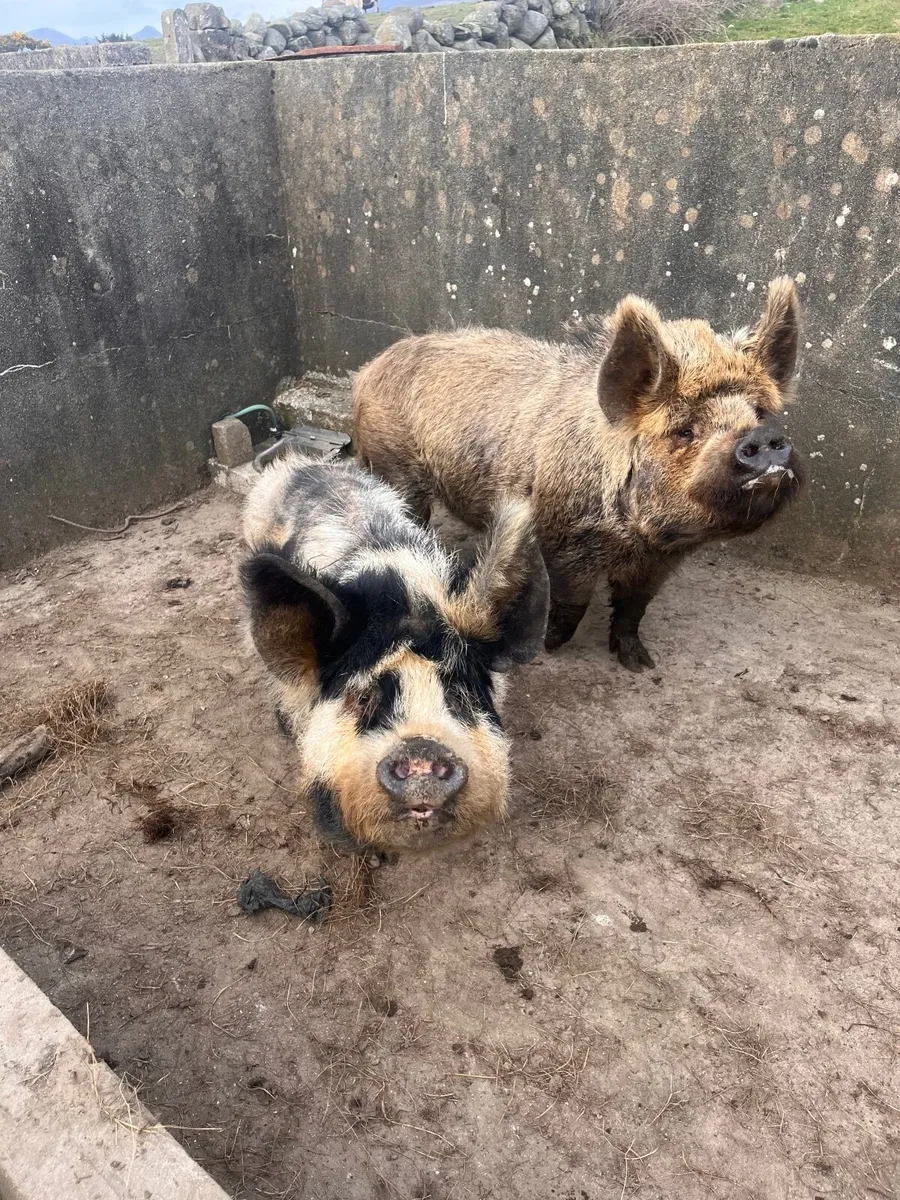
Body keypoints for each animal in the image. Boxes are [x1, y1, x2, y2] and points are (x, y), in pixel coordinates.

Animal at [353, 277, 804, 671]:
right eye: (685, 430)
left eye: (759, 413)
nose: (763, 437)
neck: (635, 541)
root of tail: (367, 371)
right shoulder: (564, 543)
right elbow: (573, 604)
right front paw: (549, 647)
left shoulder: (659, 563)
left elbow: (634, 608)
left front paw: (640, 664)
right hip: (396, 464)